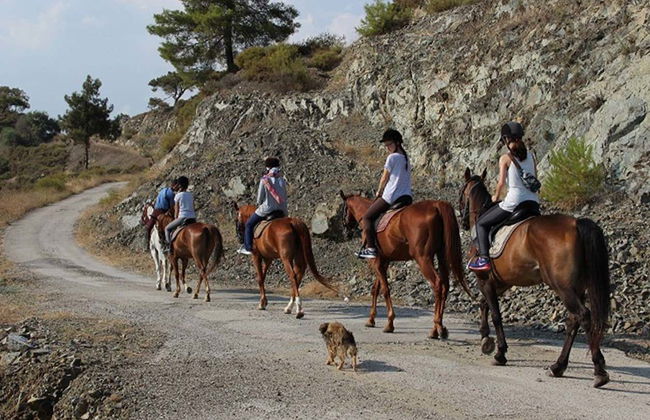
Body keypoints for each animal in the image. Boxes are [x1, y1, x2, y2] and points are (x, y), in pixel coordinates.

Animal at [339, 191, 473, 338]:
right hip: (441, 256)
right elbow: (376, 289)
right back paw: (439, 328)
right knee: (445, 285)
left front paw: (390, 323)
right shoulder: (384, 261)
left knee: (437, 284)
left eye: (343, 209)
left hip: (423, 258)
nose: (345, 233)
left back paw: (436, 327)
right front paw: (371, 319)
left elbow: (385, 290)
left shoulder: (376, 261)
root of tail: (436, 205)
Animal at [459, 168, 611, 388]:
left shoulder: (485, 280)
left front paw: (499, 352)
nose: (462, 221)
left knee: (583, 316)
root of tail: (576, 223)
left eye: (461, 192)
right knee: (574, 320)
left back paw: (599, 371)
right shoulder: (501, 282)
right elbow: (484, 303)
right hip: (577, 288)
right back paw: (558, 366)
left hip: (563, 287)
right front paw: (485, 338)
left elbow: (495, 314)